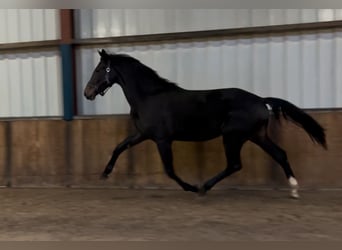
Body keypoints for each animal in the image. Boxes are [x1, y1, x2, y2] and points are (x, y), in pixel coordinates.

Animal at [83, 48, 326, 198]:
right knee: (280, 154)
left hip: (233, 136)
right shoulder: (143, 134)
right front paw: (104, 175)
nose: (87, 93)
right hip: (256, 136)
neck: (149, 97)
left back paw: (204, 188)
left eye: (99, 70)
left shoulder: (162, 139)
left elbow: (169, 170)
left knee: (235, 164)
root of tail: (260, 100)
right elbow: (119, 147)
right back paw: (294, 190)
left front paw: (191, 187)